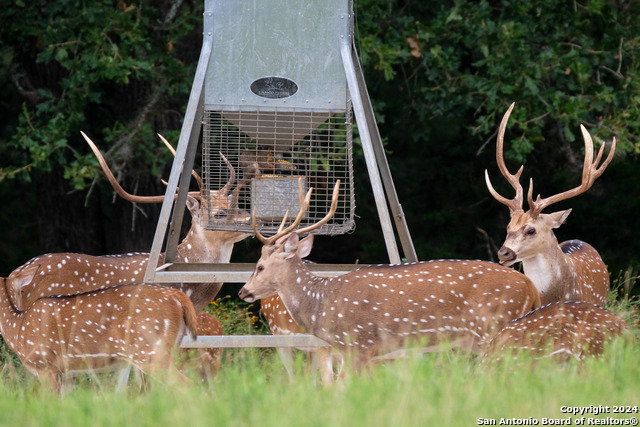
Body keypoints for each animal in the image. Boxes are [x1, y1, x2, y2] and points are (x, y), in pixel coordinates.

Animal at [0, 278, 198, 394]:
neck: (17, 328)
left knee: (188, 384)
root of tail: (176, 295)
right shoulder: (67, 373)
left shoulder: (46, 366)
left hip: (151, 351)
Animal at [239, 181, 540, 368]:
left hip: (495, 326)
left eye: (260, 266)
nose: (244, 291)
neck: (323, 307)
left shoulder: (359, 344)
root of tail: (531, 286)